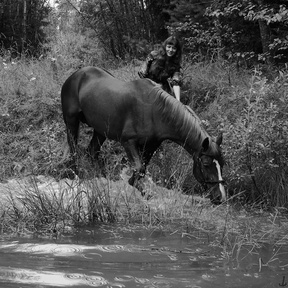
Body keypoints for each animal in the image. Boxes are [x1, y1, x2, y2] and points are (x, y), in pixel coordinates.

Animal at [60, 66, 226, 204]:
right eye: (206, 164)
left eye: (222, 164)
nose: (220, 197)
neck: (155, 111)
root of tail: (75, 75)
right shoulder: (128, 142)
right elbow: (139, 168)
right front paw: (136, 187)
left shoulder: (151, 145)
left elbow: (143, 168)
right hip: (71, 121)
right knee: (74, 150)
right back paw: (77, 175)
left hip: (101, 131)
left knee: (92, 151)